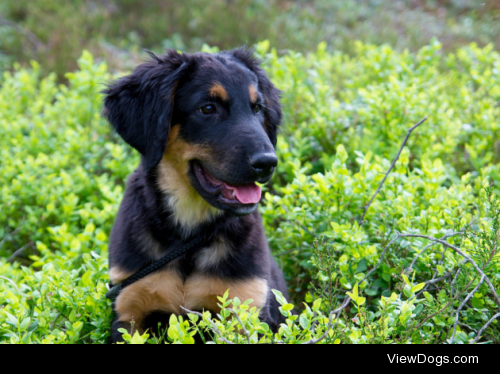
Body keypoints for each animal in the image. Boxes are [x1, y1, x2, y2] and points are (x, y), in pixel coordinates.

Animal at [103, 48, 288, 344]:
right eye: (208, 108)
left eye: (257, 108)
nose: (268, 163)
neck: (189, 235)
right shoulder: (130, 307)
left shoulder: (247, 307)